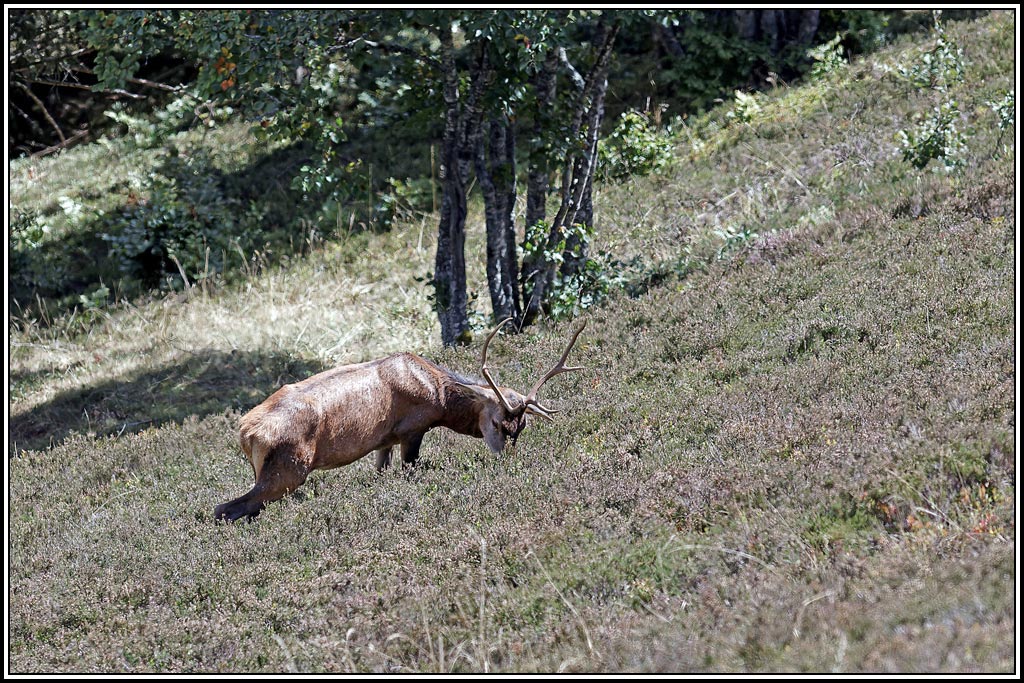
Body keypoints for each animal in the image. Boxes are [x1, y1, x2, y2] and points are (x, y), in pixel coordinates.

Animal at [214, 318, 587, 521]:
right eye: (497, 423)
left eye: (521, 428)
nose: (505, 458)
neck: (440, 397)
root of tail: (246, 432)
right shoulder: (411, 430)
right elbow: (412, 469)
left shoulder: (384, 442)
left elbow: (381, 472)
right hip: (288, 469)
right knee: (227, 508)